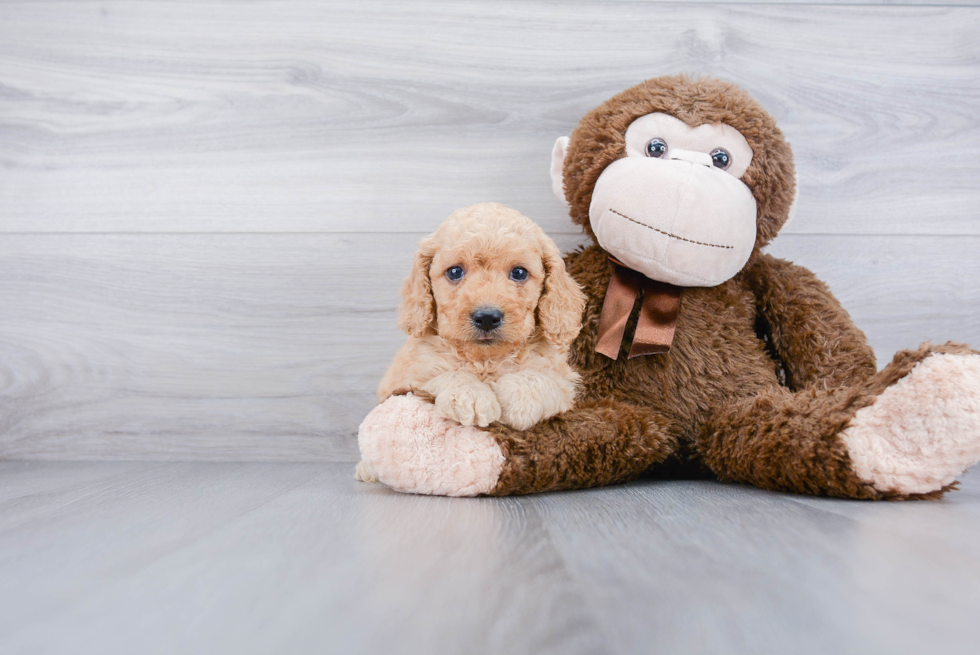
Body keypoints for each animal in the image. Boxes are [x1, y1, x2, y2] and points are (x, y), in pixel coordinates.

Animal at [356, 202, 584, 484]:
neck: (485, 360)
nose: (486, 317)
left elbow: (539, 379)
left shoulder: (564, 382)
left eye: (519, 272)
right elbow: (446, 376)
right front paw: (471, 396)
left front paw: (518, 399)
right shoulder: (410, 378)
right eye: (455, 272)